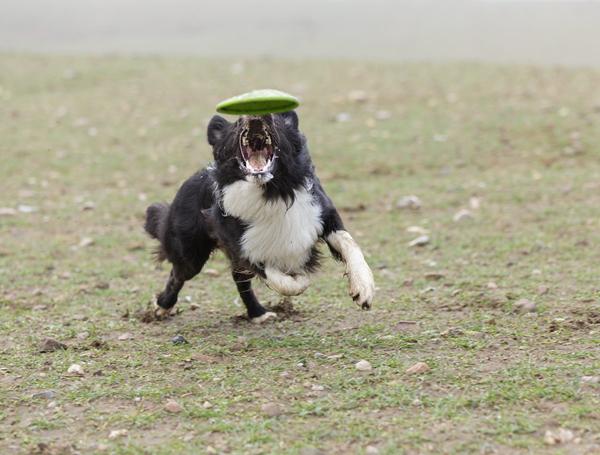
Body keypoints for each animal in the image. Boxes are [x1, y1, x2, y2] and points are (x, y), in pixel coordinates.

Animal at [143, 111, 372, 324]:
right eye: (236, 122)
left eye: (275, 119)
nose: (255, 115)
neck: (272, 192)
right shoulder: (244, 246)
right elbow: (281, 280)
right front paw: (300, 279)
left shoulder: (321, 213)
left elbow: (349, 243)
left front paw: (363, 289)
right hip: (191, 253)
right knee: (178, 275)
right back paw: (161, 307)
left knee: (239, 279)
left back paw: (258, 313)